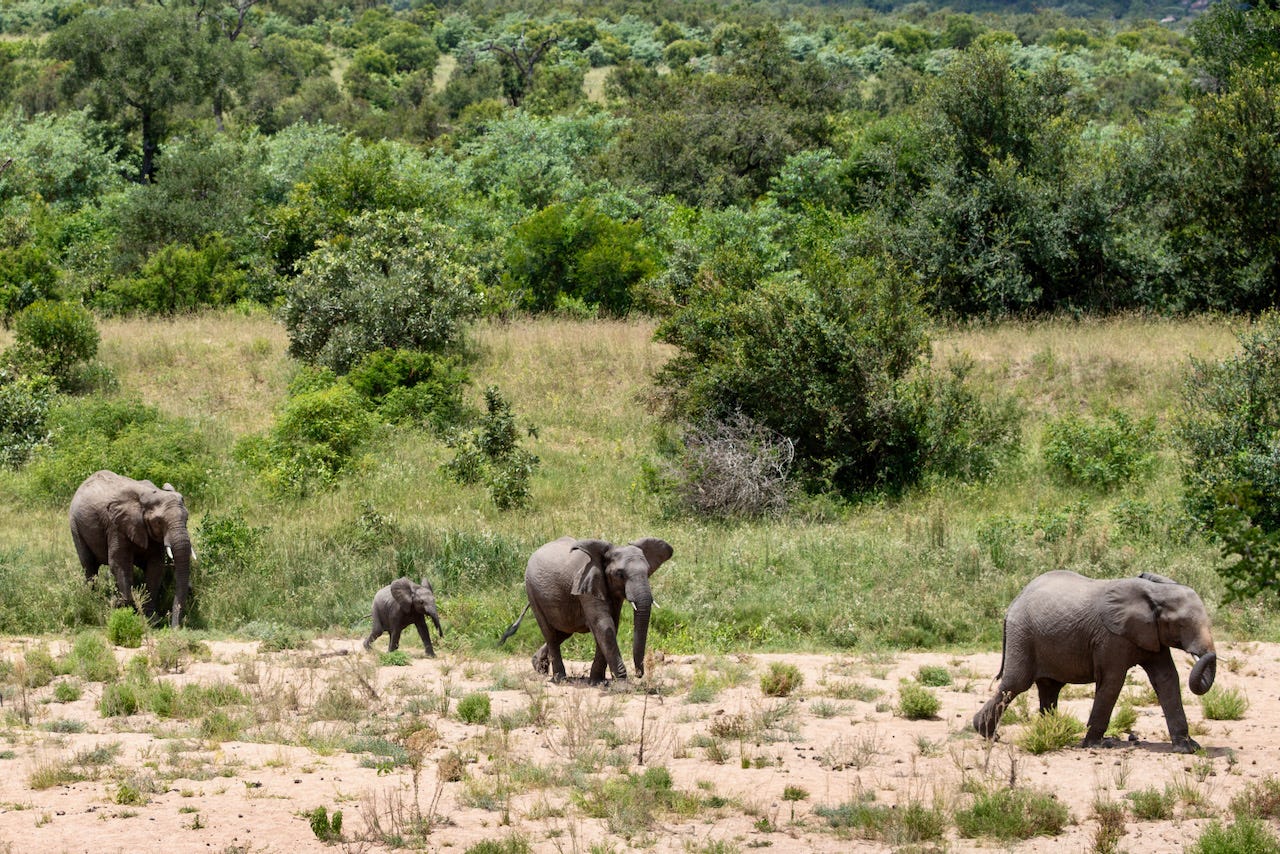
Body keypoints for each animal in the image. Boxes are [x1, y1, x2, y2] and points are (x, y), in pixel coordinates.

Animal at [69, 470, 194, 628]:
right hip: (75, 525)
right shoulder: (116, 525)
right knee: (89, 566)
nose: (175, 628)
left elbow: (155, 567)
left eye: (187, 519)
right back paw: (93, 600)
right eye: (159, 522)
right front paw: (121, 607)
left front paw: (151, 620)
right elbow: (119, 563)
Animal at [500, 536, 673, 683]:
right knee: (550, 633)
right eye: (619, 574)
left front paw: (598, 681)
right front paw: (622, 683)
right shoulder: (586, 585)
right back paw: (560, 679)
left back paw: (538, 667)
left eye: (648, 571)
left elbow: (611, 626)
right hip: (532, 592)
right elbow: (604, 625)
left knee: (563, 631)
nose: (638, 674)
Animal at [973, 570, 1217, 754]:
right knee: (1015, 685)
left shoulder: (1150, 635)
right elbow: (1112, 682)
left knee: (1049, 688)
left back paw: (1047, 732)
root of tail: (1015, 601)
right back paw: (987, 733)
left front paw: (1188, 748)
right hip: (1023, 635)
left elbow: (1167, 679)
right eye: (1182, 624)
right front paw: (1097, 744)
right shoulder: (1112, 637)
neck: (1155, 592)